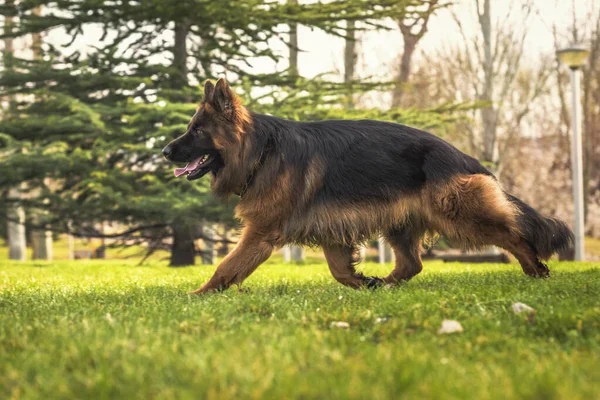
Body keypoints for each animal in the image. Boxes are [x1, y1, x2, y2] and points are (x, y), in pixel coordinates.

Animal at [162, 79, 576, 294]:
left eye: (196, 131)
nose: (165, 151)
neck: (261, 151)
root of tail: (463, 156)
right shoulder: (331, 230)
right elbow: (339, 271)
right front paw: (365, 282)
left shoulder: (262, 232)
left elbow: (227, 267)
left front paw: (198, 295)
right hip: (401, 223)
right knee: (412, 264)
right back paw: (388, 283)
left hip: (458, 214)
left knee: (513, 235)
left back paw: (536, 270)